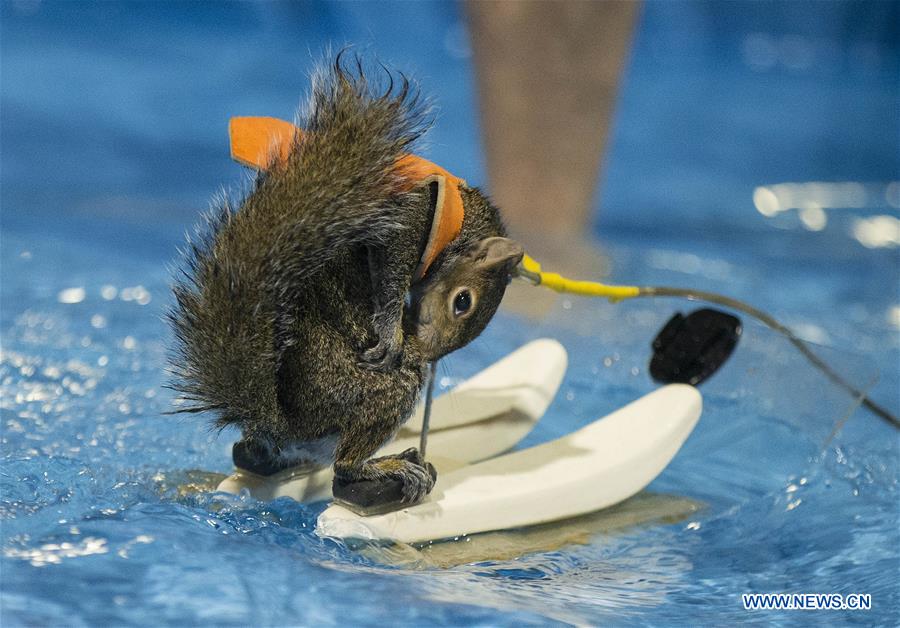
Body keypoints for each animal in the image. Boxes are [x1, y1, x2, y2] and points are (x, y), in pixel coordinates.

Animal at [168, 55, 523, 503]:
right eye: (463, 302)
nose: (425, 353)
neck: (463, 221)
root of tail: (288, 424)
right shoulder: (409, 217)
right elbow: (390, 271)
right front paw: (390, 331)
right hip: (379, 389)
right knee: (343, 468)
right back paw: (387, 466)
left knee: (260, 456)